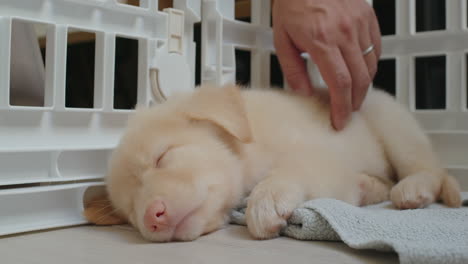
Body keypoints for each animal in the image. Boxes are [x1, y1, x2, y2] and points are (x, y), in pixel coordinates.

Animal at [84, 84, 460, 241]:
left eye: (162, 157)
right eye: (130, 211)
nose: (152, 217)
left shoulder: (318, 155)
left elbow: (289, 171)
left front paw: (266, 201)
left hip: (393, 125)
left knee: (428, 170)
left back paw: (413, 189)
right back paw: (369, 187)